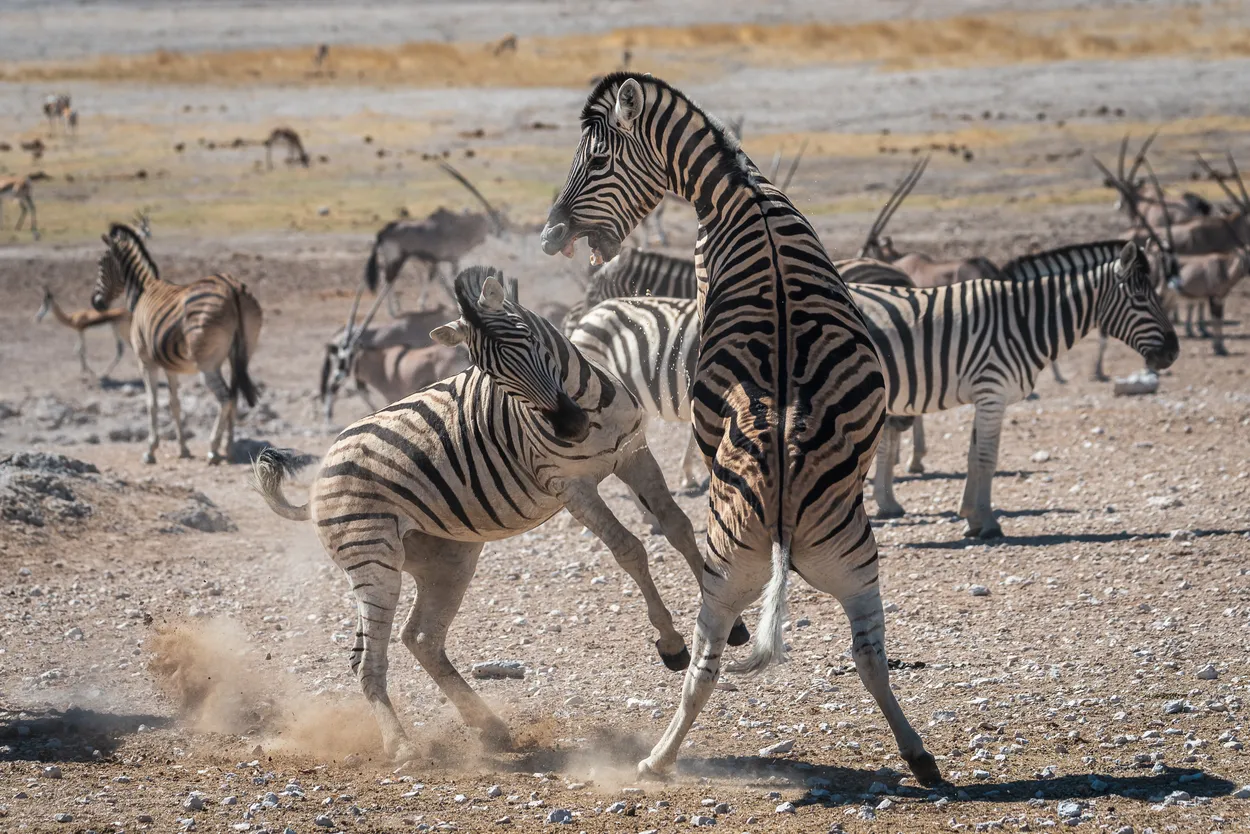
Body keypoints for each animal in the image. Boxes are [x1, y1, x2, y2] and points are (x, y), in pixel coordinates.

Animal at [91, 223, 263, 464]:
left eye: (100, 264)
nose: (96, 302)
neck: (143, 290)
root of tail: (232, 287)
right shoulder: (170, 366)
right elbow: (175, 404)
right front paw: (183, 449)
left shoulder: (145, 361)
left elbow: (151, 403)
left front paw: (150, 450)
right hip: (240, 356)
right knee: (235, 394)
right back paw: (229, 447)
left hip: (207, 364)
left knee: (226, 397)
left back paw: (213, 448)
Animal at [252, 266, 749, 761]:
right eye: (491, 372)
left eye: (529, 340)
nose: (569, 427)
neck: (587, 406)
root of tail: (319, 476)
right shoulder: (571, 487)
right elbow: (630, 550)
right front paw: (671, 642)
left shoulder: (633, 453)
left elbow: (678, 527)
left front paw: (733, 625)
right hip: (374, 560)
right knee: (367, 660)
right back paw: (403, 747)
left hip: (448, 559)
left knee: (421, 638)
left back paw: (490, 727)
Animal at [540, 72, 940, 785]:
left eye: (599, 159)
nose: (550, 232)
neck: (738, 191)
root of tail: (781, 520)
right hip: (857, 566)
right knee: (868, 656)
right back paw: (919, 757)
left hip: (743, 571)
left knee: (706, 664)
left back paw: (658, 758)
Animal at [862, 240, 1178, 538]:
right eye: (1141, 298)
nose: (1173, 352)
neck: (1020, 320)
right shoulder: (992, 392)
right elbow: (987, 458)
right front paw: (989, 523)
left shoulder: (985, 396)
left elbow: (974, 457)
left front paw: (972, 519)